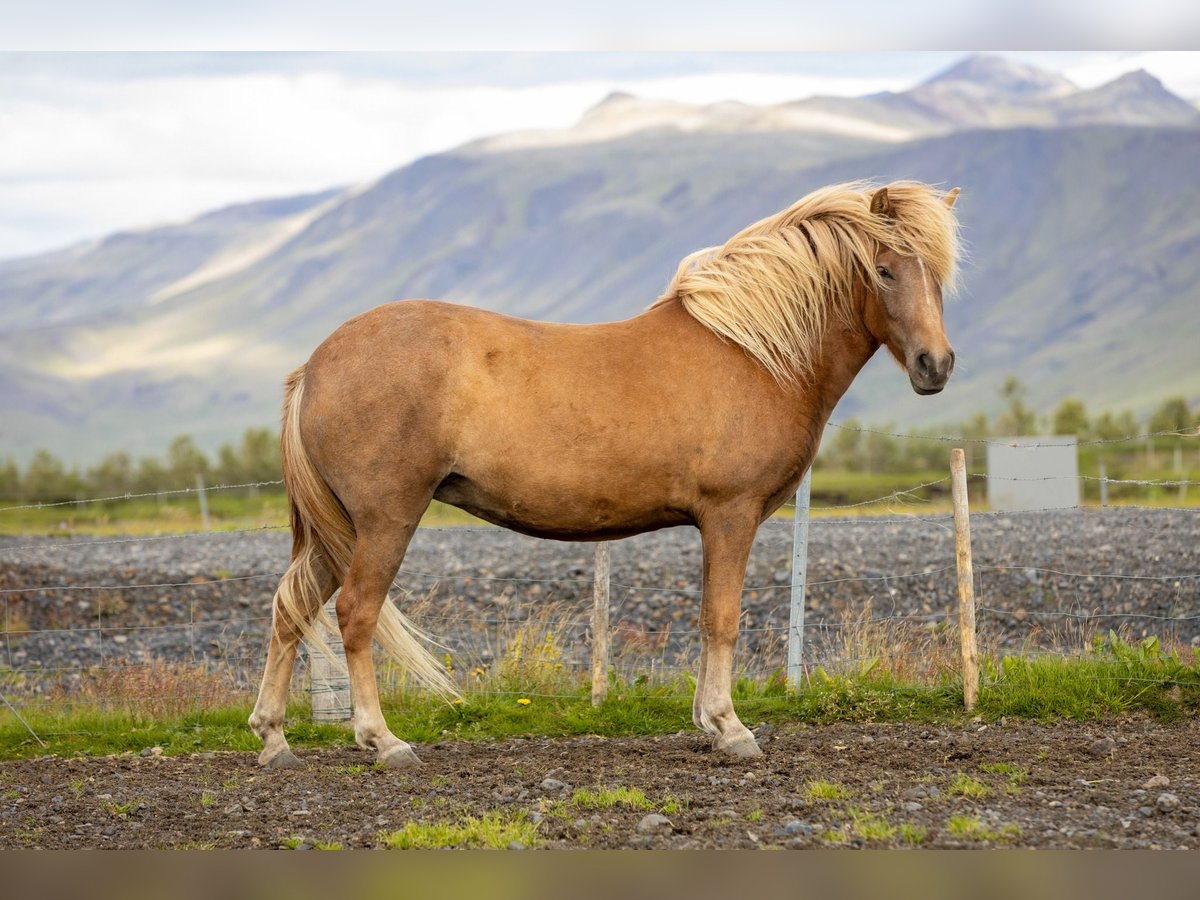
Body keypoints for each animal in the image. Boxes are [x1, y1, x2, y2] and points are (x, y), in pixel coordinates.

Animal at [249, 180, 962, 769]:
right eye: (884, 269)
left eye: (938, 275)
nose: (936, 366)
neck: (753, 353)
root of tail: (315, 364)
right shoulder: (730, 516)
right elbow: (722, 618)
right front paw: (730, 728)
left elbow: (708, 618)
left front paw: (708, 722)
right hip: (384, 520)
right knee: (354, 613)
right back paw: (383, 741)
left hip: (339, 531)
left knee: (291, 606)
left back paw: (275, 739)